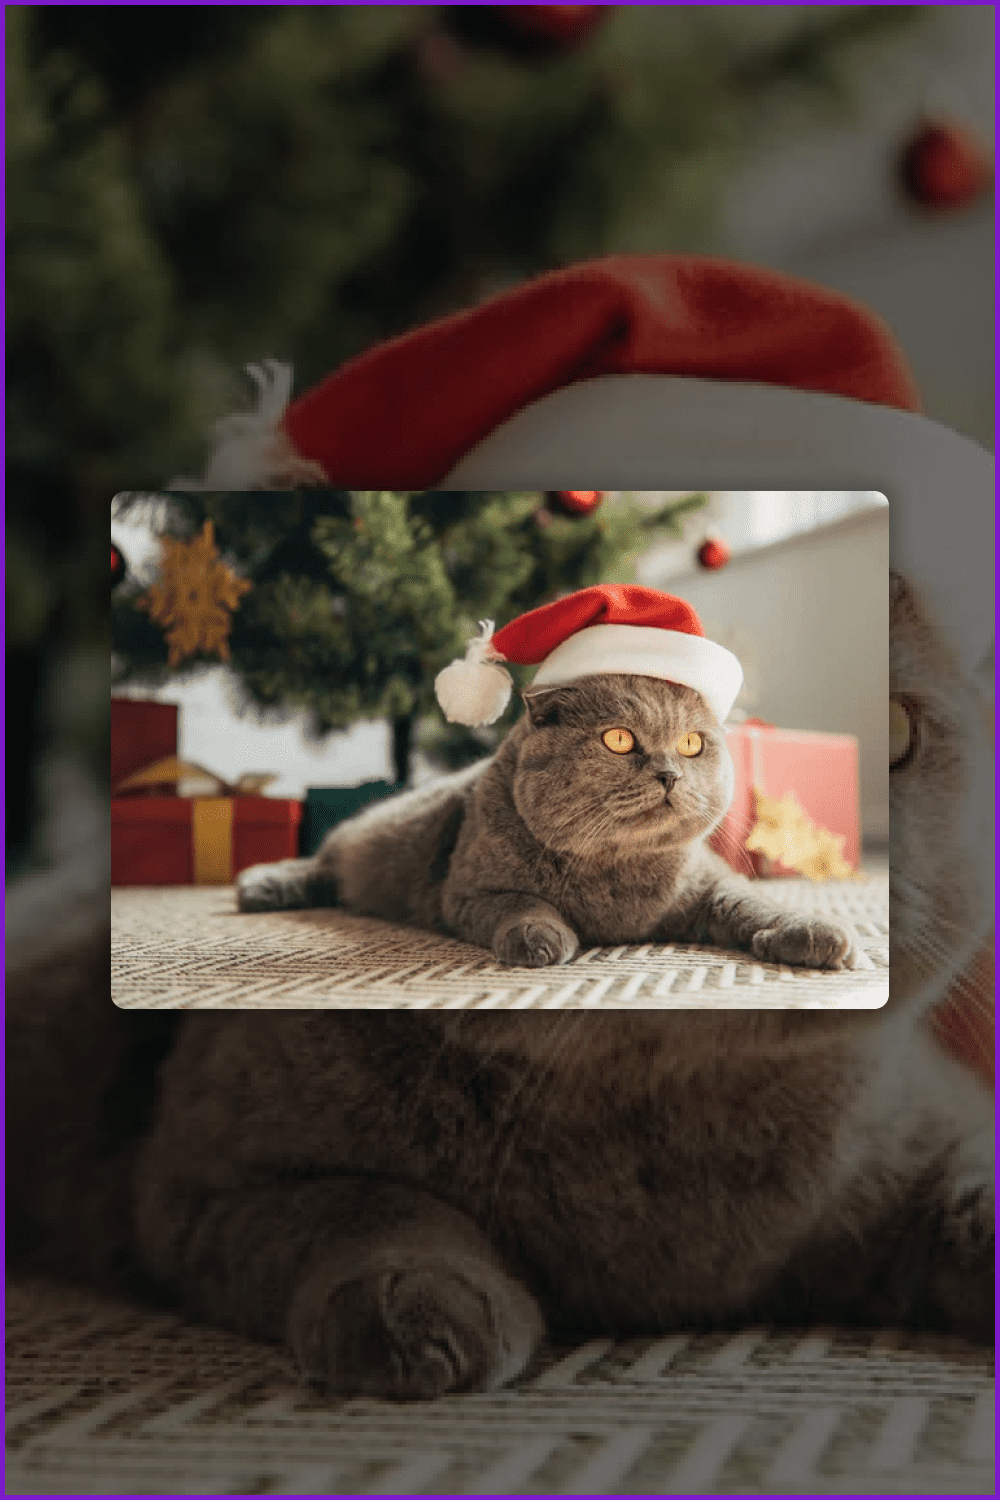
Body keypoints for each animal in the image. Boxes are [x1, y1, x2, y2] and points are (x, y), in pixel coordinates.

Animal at [238, 672, 857, 972]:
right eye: (619, 739)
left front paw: (817, 935)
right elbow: (521, 902)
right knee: (319, 865)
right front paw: (540, 937)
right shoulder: (468, 892)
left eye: (691, 743)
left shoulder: (710, 884)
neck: (616, 876)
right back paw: (259, 884)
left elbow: (754, 902)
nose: (669, 774)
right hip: (357, 849)